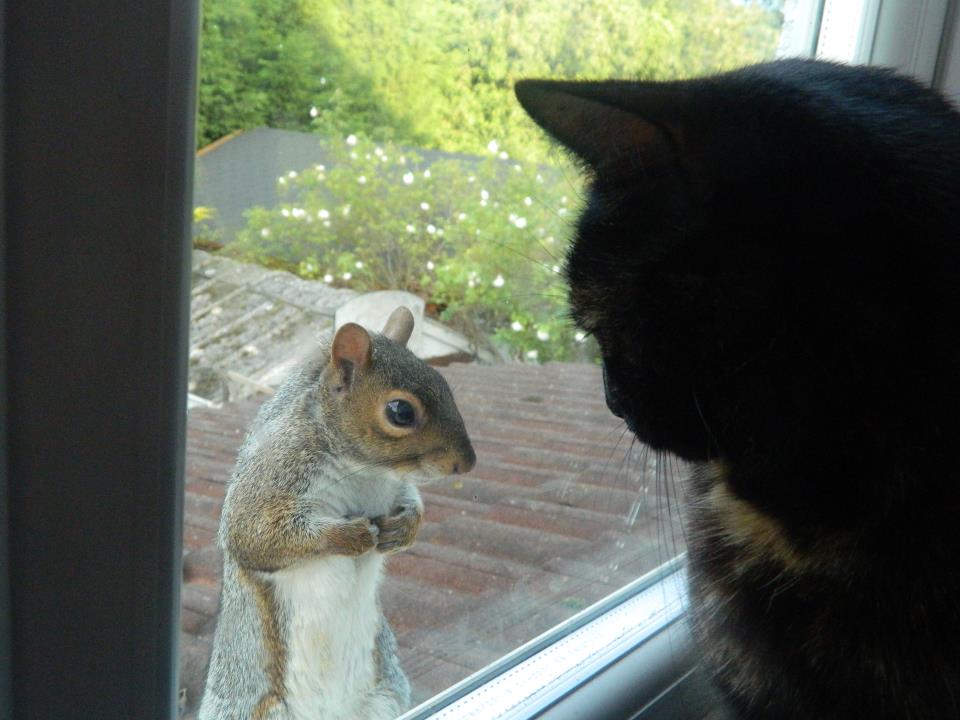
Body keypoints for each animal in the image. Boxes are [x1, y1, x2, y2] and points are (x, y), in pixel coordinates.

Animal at [199, 306, 476, 720]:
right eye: (400, 411)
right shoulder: (271, 473)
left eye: (443, 382)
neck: (363, 470)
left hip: (383, 696)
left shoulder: (393, 485)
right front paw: (352, 536)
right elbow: (254, 536)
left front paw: (403, 528)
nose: (468, 463)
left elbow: (410, 501)